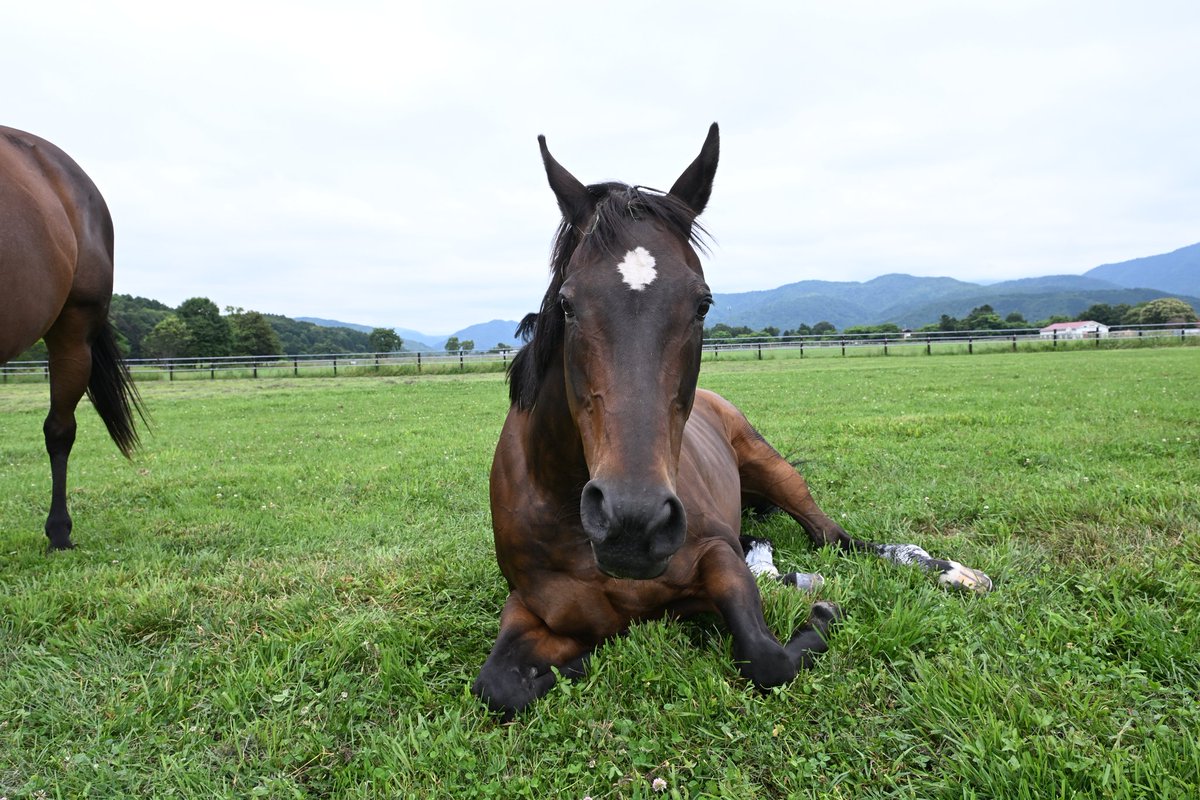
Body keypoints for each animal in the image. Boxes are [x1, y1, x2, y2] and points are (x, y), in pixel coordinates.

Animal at [473, 123, 991, 718]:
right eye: (567, 303)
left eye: (702, 304)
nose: (633, 523)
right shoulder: (529, 606)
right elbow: (499, 685)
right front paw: (576, 662)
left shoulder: (718, 558)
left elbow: (767, 657)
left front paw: (822, 616)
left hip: (778, 474)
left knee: (837, 541)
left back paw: (949, 571)